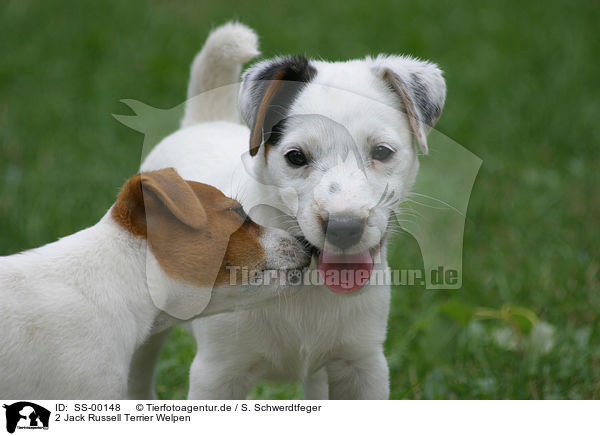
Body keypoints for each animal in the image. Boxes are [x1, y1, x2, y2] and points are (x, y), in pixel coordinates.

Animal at [137, 23, 446, 398]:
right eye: (296, 157)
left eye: (382, 152)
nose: (344, 228)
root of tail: (203, 122)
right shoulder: (217, 374)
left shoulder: (361, 366)